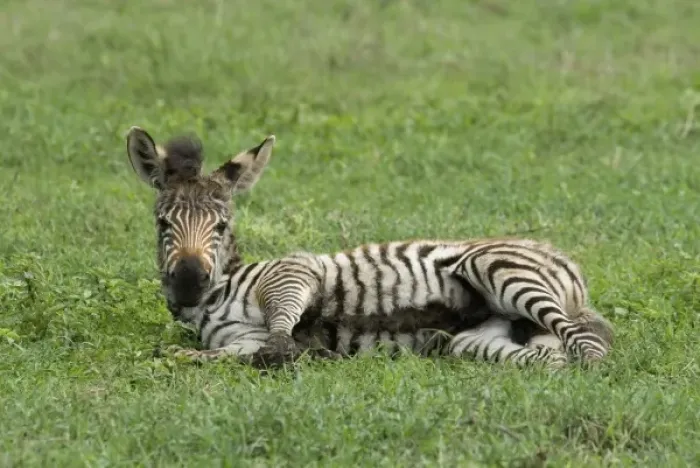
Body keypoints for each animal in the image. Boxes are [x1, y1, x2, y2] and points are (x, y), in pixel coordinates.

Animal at [125, 127, 613, 369]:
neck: (214, 297)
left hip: (496, 265)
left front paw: (305, 350)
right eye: (162, 223)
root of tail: (557, 256)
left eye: (222, 225)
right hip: (483, 343)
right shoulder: (241, 341)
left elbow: (279, 334)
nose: (189, 282)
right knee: (550, 358)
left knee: (586, 343)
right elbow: (207, 354)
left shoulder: (294, 271)